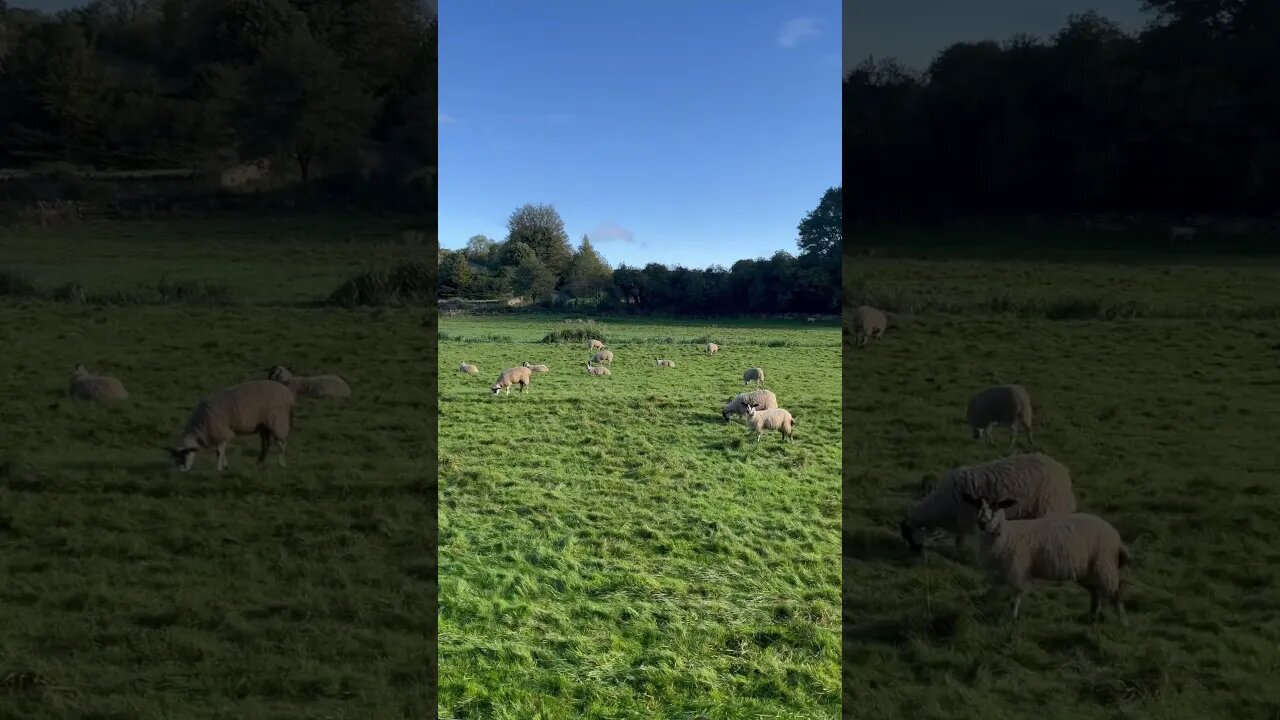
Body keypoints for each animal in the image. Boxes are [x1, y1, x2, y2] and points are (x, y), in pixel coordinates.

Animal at [165, 379, 293, 474]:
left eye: (184, 457)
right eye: (173, 460)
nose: (179, 472)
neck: (201, 425)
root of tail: (287, 392)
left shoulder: (221, 430)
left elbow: (219, 452)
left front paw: (219, 469)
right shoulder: (219, 434)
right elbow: (221, 451)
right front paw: (225, 466)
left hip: (277, 420)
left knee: (282, 443)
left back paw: (281, 464)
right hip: (265, 425)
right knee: (266, 444)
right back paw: (260, 462)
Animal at [901, 450, 1080, 558]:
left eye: (908, 533)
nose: (914, 551)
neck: (940, 506)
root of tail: (1064, 472)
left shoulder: (967, 519)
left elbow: (961, 538)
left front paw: (959, 552)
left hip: (1048, 506)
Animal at [962, 491, 1131, 622]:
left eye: (996, 506)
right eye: (977, 505)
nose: (982, 523)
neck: (1006, 534)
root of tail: (1115, 535)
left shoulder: (1017, 570)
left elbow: (1015, 597)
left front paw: (1012, 617)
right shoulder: (996, 574)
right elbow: (992, 595)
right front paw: (987, 613)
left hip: (1105, 565)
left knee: (1115, 594)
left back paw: (1122, 621)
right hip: (1089, 570)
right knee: (1096, 594)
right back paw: (1092, 617)